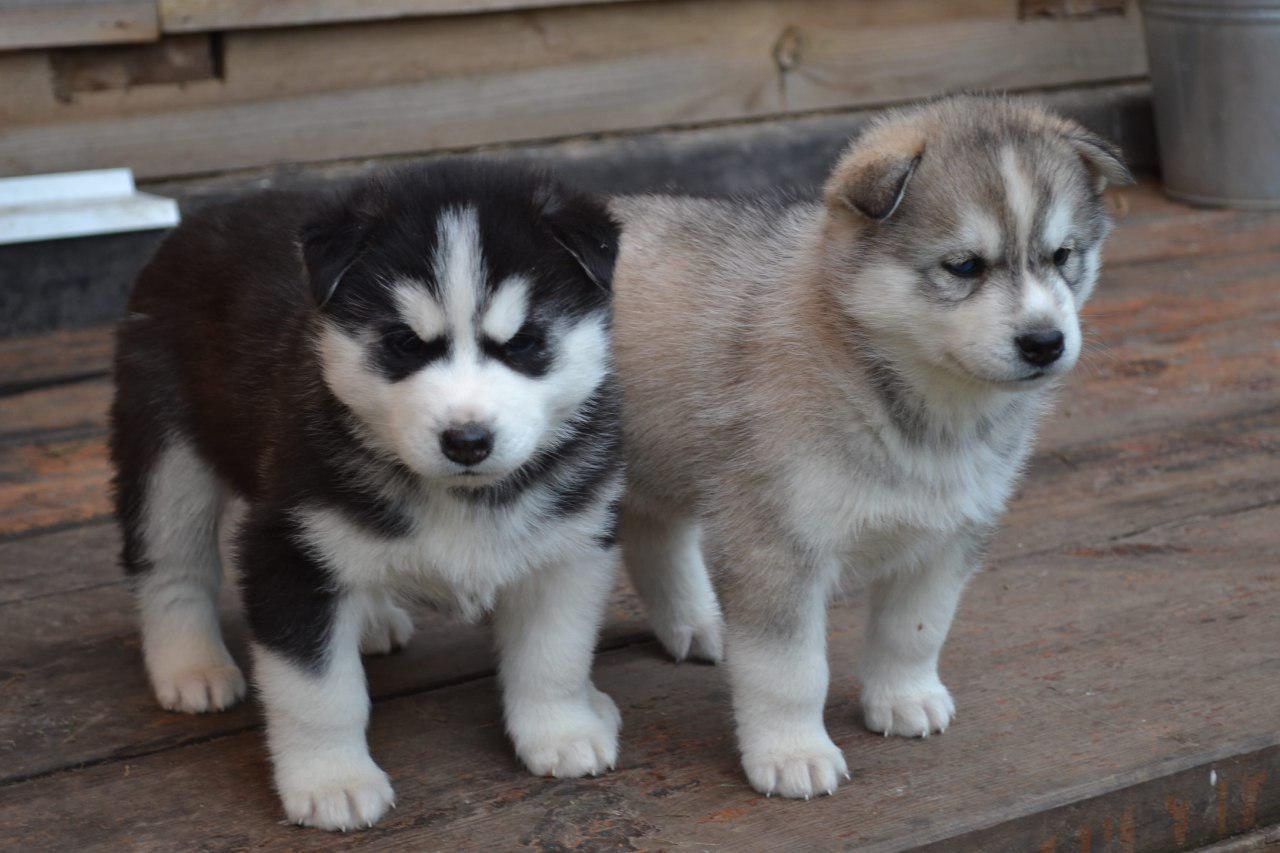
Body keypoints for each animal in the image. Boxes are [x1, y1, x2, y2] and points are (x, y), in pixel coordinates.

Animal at [112, 162, 622, 824]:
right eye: (405, 343)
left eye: (523, 343)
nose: (467, 441)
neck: (456, 494)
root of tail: (203, 216)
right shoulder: (289, 548)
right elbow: (319, 691)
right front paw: (333, 781)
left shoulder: (570, 546)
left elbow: (554, 654)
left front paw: (561, 732)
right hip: (168, 449)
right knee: (173, 565)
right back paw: (191, 663)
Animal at [609, 96, 1131, 799]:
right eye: (965, 265)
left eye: (1063, 255)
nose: (1046, 342)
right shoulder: (776, 541)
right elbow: (789, 668)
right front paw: (793, 752)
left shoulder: (952, 529)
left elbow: (915, 628)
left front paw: (903, 697)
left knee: (653, 533)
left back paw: (694, 622)